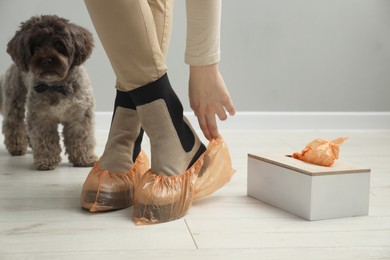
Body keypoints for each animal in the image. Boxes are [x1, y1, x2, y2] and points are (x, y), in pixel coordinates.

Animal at [0, 15, 97, 171]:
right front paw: (46, 161)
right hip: (14, 100)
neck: (56, 86)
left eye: (59, 45)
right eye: (35, 46)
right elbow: (45, 140)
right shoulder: (42, 118)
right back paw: (16, 146)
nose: (46, 60)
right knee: (13, 123)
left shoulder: (80, 117)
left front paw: (84, 159)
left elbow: (81, 139)